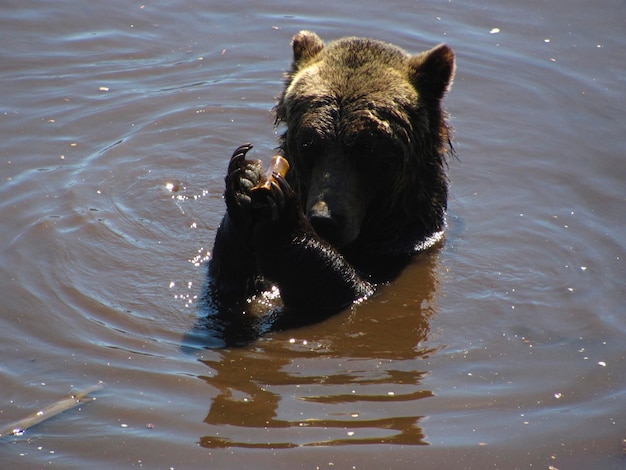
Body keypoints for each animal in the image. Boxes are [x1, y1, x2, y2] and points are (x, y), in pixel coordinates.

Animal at [207, 31, 456, 334]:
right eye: (309, 142)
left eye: (367, 148)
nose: (324, 219)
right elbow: (231, 287)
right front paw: (244, 179)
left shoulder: (400, 252)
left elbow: (349, 290)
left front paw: (285, 221)